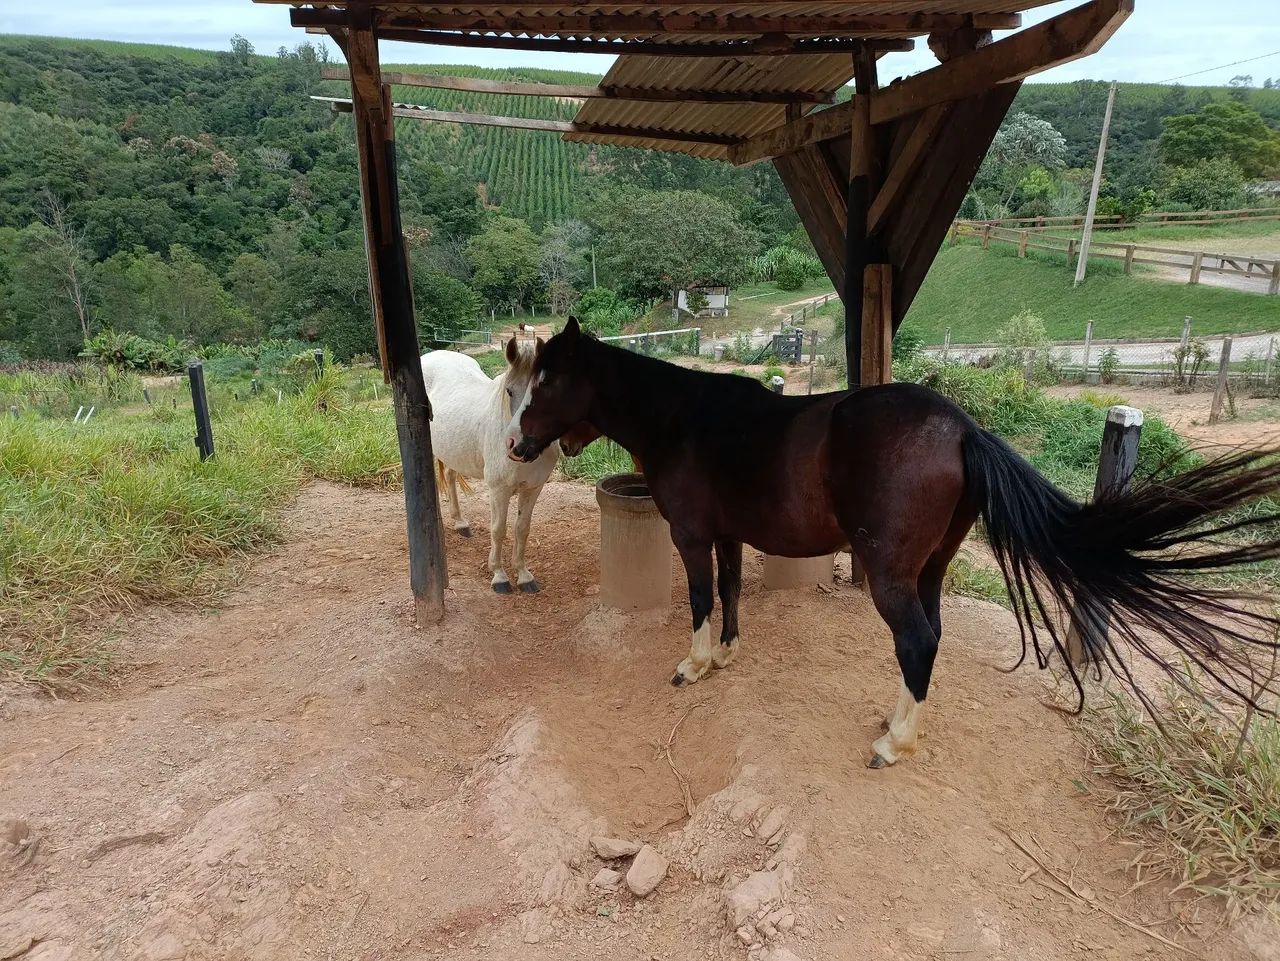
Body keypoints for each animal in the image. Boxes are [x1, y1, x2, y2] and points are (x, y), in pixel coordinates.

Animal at [422, 338, 597, 594]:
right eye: (509, 391)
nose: (521, 447)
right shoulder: (498, 490)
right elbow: (498, 529)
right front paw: (499, 575)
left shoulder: (533, 488)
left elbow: (521, 528)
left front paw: (523, 576)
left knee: (452, 478)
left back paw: (461, 523)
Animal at [507, 317, 1280, 768]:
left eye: (545, 380)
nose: (516, 445)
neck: (686, 419)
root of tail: (962, 429)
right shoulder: (726, 537)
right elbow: (728, 592)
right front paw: (725, 654)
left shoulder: (693, 536)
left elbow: (699, 598)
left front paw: (694, 665)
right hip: (928, 569)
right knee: (929, 638)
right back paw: (902, 719)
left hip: (889, 574)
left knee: (916, 640)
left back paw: (894, 742)